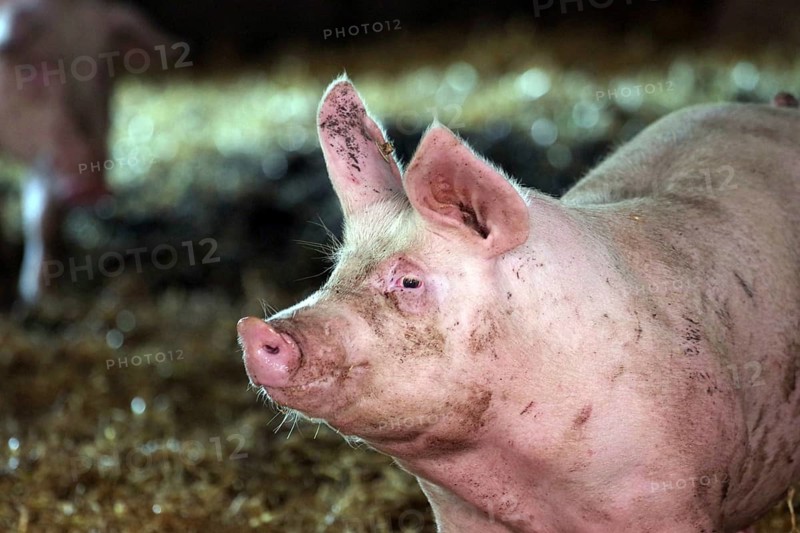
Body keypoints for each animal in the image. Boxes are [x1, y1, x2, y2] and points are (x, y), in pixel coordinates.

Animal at [0, 0, 176, 306]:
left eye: (103, 73)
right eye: (31, 75)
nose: (92, 189)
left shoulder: (46, 158)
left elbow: (40, 215)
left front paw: (39, 295)